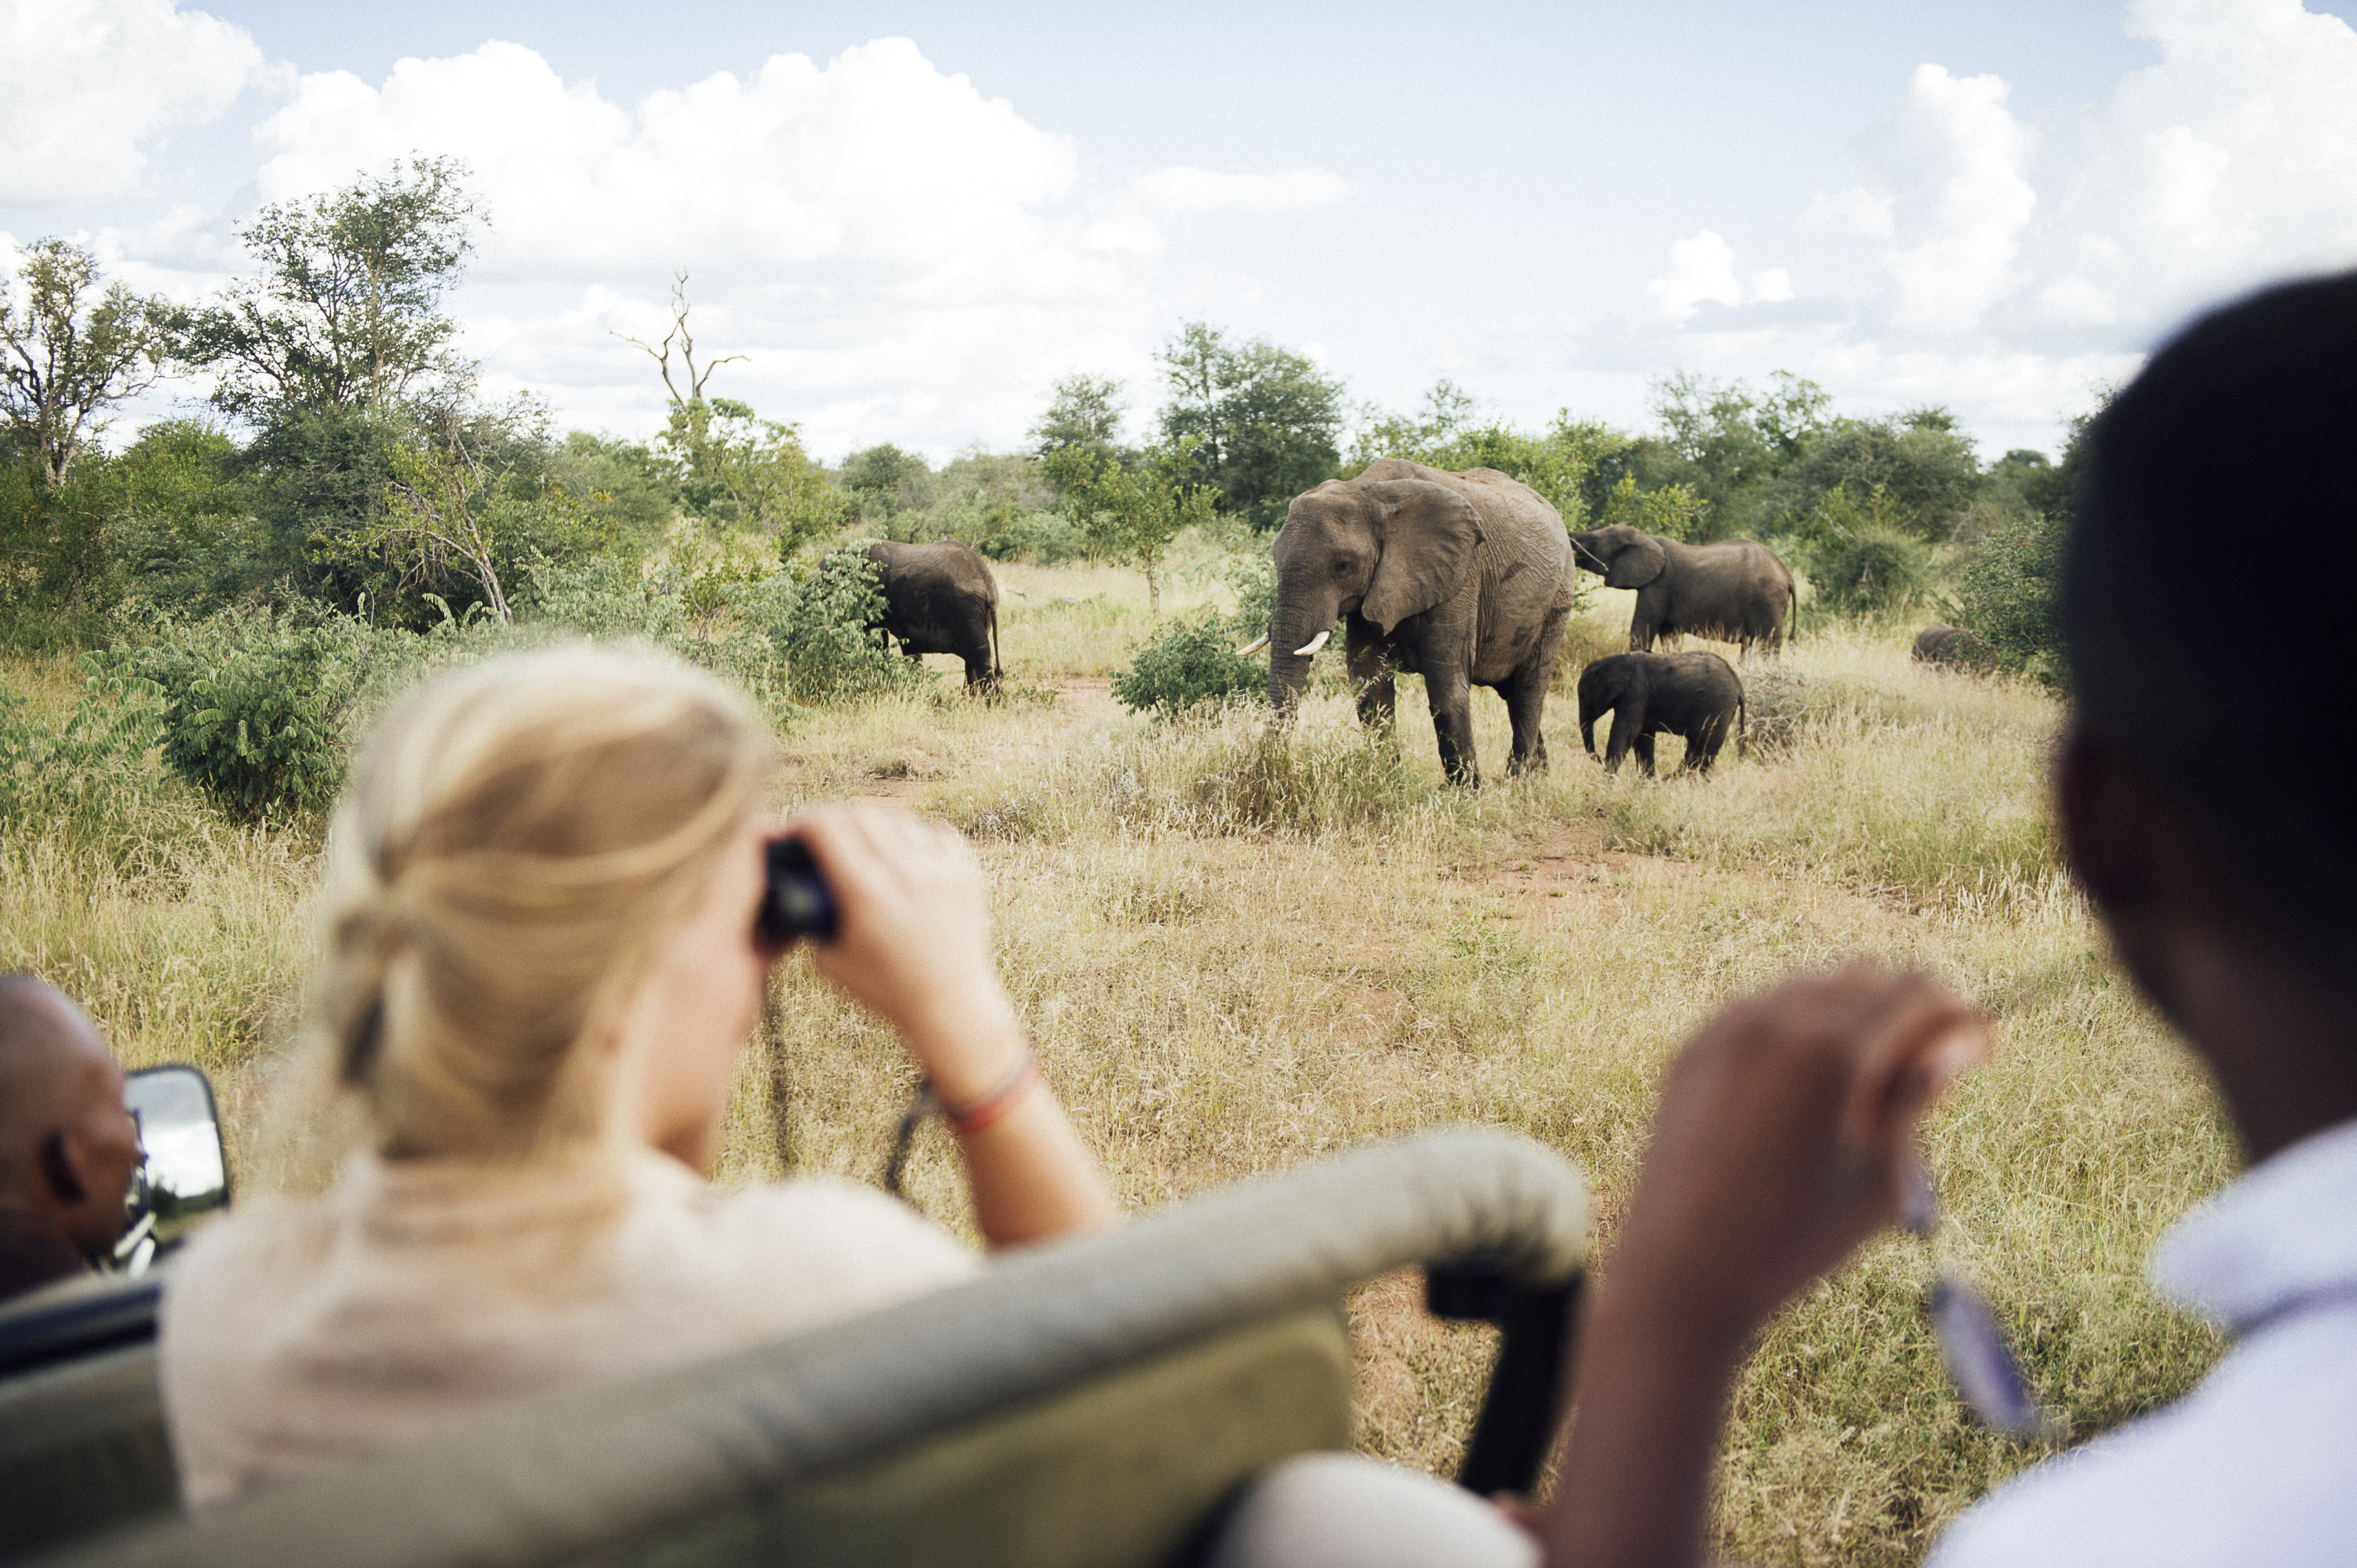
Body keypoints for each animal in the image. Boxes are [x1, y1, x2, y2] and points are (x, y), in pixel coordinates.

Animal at [1243, 459, 1574, 786]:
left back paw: (1519, 783)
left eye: (1344, 566)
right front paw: (1385, 782)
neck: (1367, 491)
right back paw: (1538, 776)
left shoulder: (1460, 578)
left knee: (1528, 691)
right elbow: (1370, 684)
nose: (1267, 774)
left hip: (1557, 601)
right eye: (1276, 560)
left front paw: (1465, 792)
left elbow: (1445, 684)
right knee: (1512, 693)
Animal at [1567, 525, 1796, 657]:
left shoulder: (1659, 585)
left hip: (1768, 600)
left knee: (1768, 646)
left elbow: (1642, 631)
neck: (1646, 537)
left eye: (1594, 541)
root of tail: (1788, 575)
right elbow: (1670, 637)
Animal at [1577, 651, 1745, 776]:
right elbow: (1643, 739)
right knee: (1698, 747)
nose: (1599, 759)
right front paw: (1647, 783)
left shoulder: (1635, 694)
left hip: (1717, 706)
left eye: (1583, 697)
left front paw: (1608, 781)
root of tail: (1738, 684)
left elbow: (1625, 733)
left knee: (1704, 747)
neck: (1615, 660)